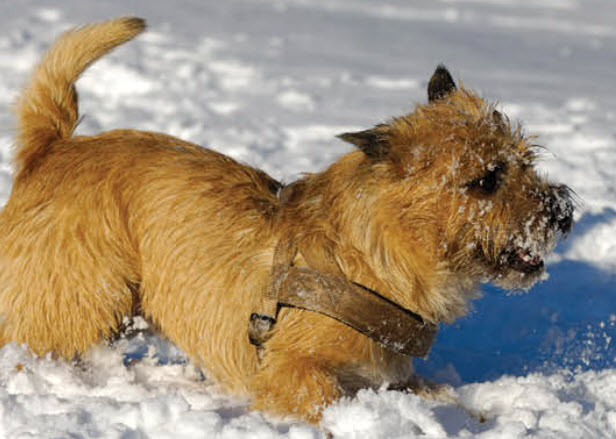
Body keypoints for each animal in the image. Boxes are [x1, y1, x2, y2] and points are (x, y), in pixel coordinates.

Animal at [0, 18, 572, 426]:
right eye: (486, 180)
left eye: (525, 160)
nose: (562, 213)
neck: (373, 257)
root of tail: (52, 148)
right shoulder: (291, 371)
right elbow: (322, 397)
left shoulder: (390, 377)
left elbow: (445, 396)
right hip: (82, 298)